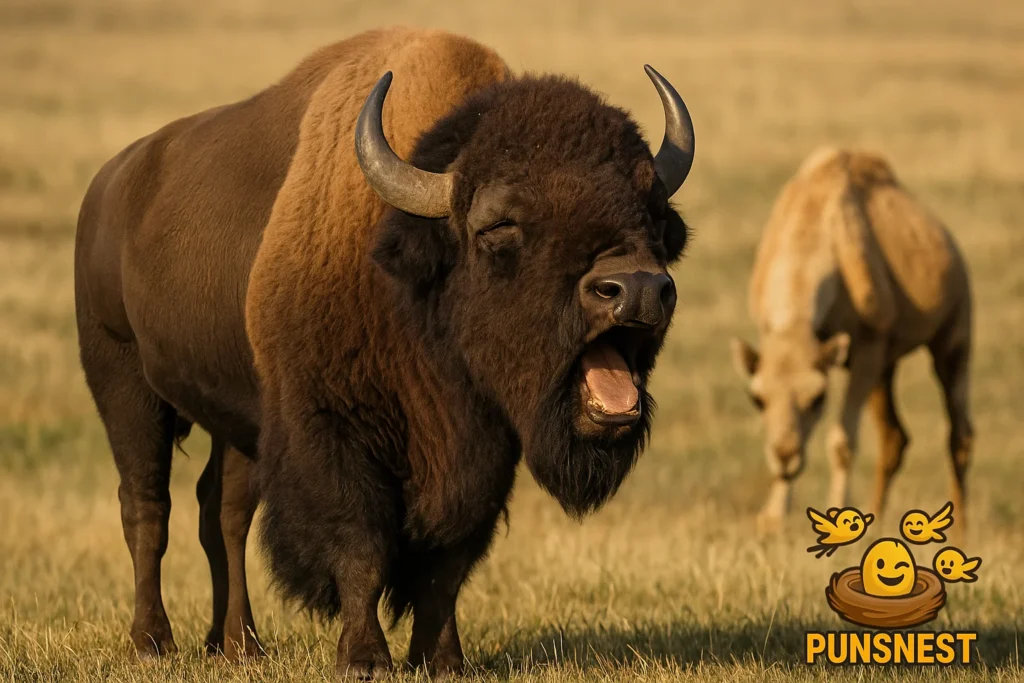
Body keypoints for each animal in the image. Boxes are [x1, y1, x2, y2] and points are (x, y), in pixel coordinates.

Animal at [75, 27, 695, 678]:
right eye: (500, 223)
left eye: (654, 213)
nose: (637, 287)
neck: (414, 286)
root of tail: (109, 185)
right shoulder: (332, 434)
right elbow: (361, 547)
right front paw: (365, 659)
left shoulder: (482, 458)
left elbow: (445, 565)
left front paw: (442, 660)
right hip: (124, 384)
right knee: (147, 508)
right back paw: (152, 641)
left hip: (237, 421)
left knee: (223, 512)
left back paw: (238, 643)